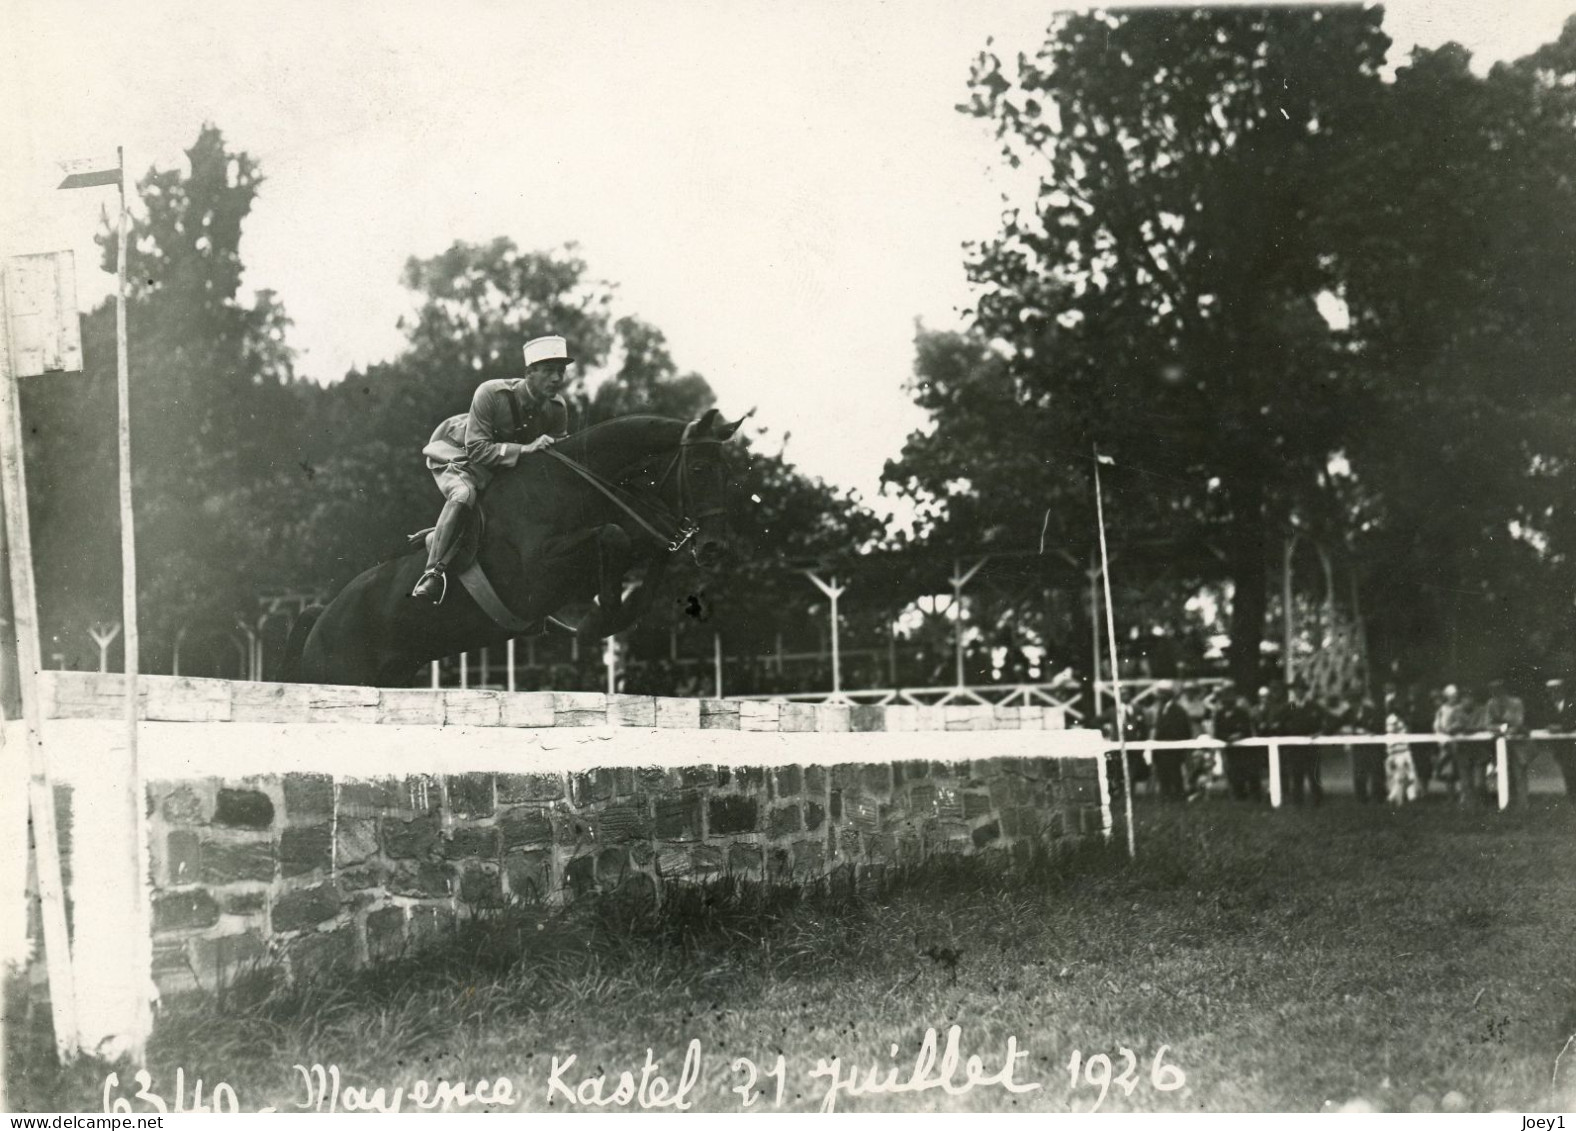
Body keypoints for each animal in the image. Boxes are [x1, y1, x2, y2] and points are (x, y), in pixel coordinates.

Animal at [288, 409, 743, 686]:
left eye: (729, 472)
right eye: (699, 469)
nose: (715, 547)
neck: (571, 487)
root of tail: (321, 617)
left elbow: (644, 550)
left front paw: (607, 617)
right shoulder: (536, 577)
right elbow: (612, 537)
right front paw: (598, 621)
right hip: (341, 677)